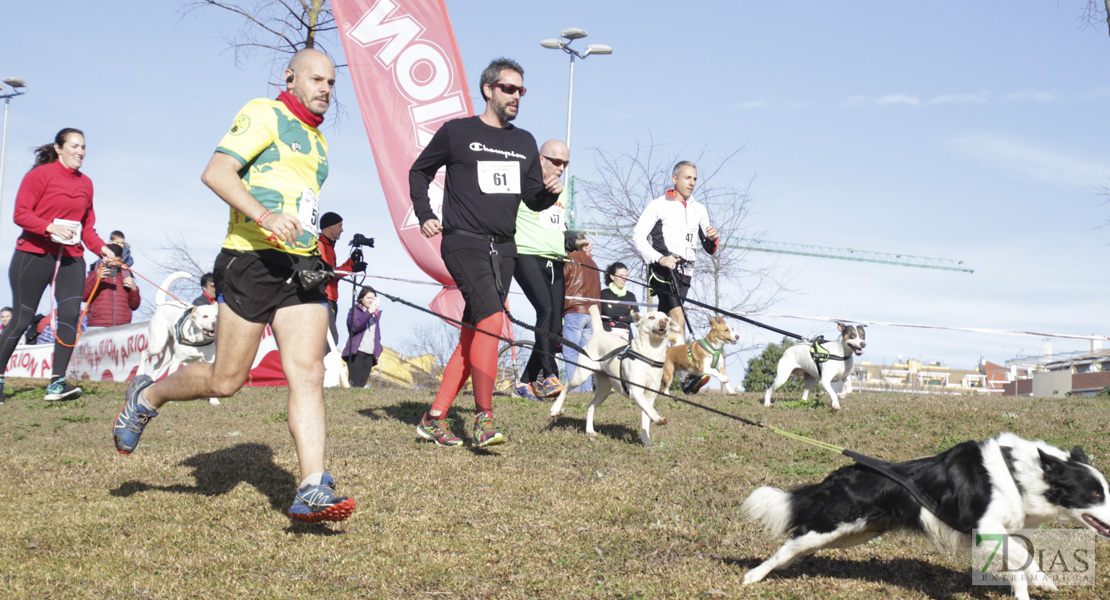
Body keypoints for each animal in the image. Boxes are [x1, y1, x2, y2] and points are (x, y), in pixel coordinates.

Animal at [548, 308, 674, 443]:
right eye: (651, 317)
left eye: (666, 319)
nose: (663, 322)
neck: (651, 355)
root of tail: (599, 332)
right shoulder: (636, 391)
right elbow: (650, 410)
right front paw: (659, 419)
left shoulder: (650, 396)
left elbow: (646, 416)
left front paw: (646, 441)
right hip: (580, 375)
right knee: (566, 386)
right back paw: (555, 409)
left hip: (603, 391)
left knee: (590, 407)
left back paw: (590, 431)